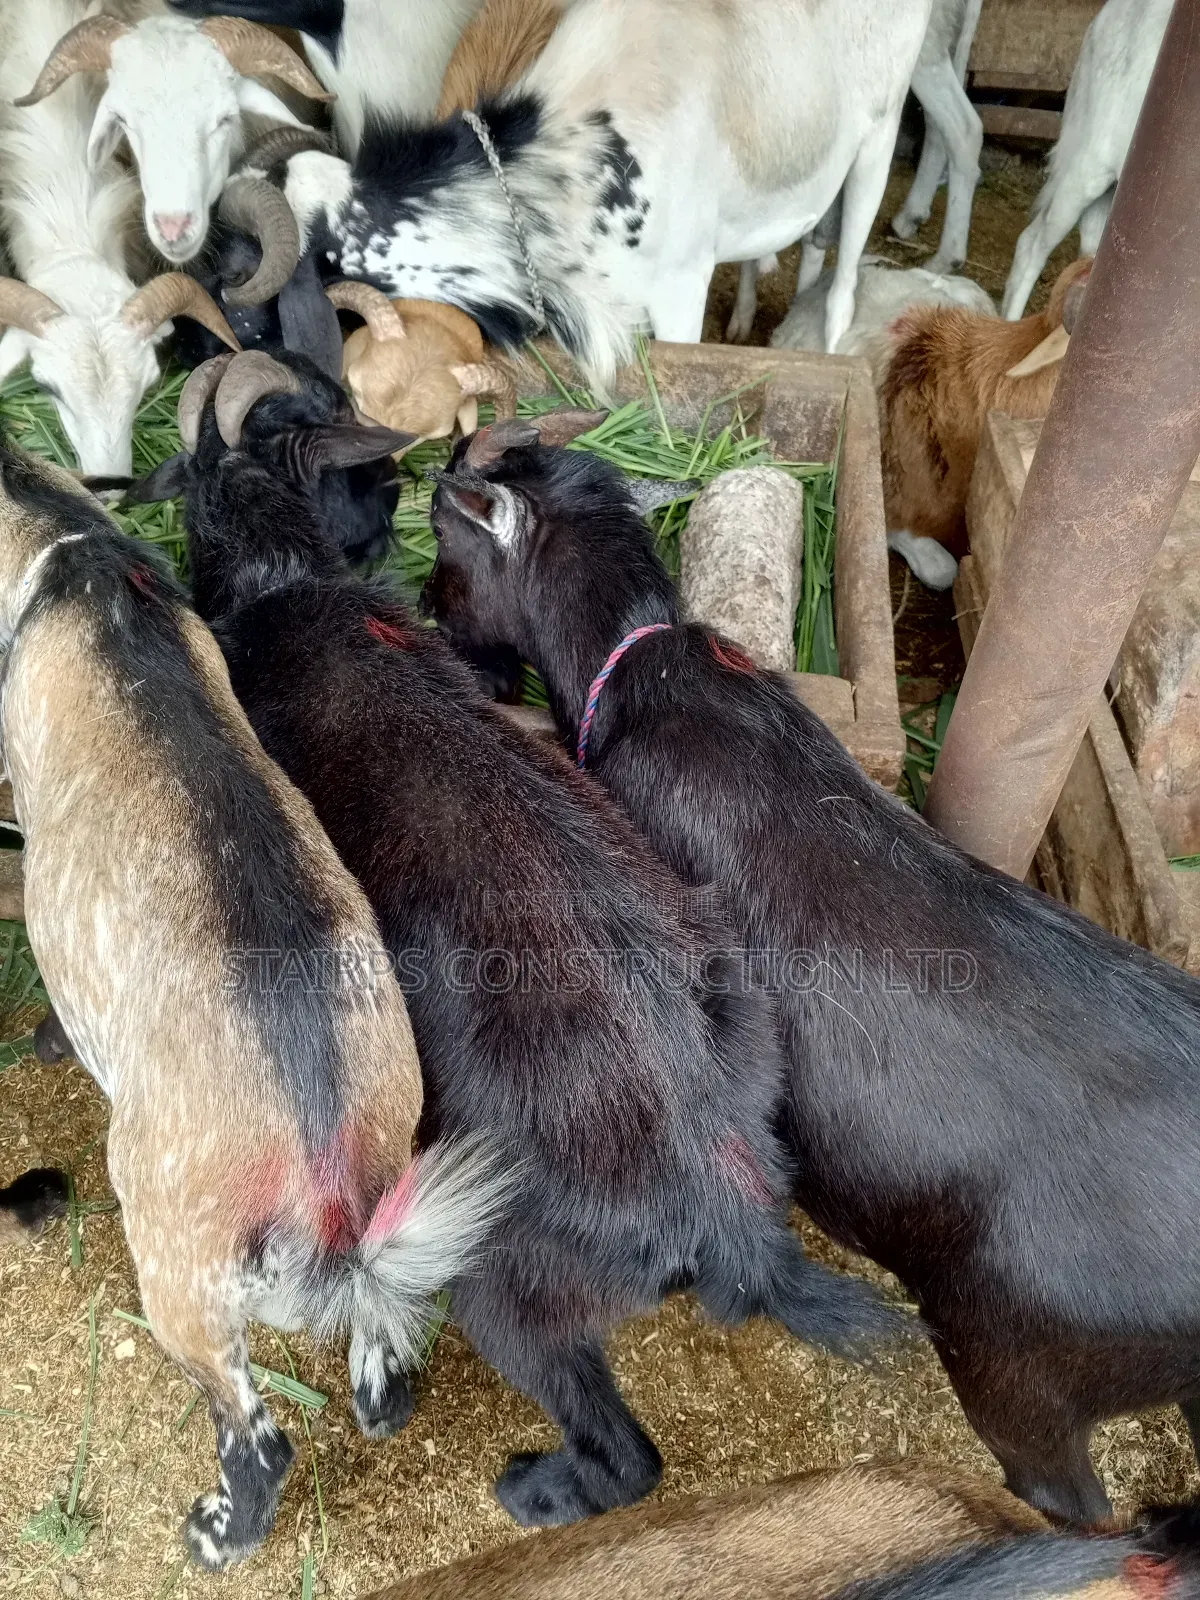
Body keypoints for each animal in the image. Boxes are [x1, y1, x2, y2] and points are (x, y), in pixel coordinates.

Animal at [0, 440, 502, 1569]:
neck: (62, 542)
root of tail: (325, 1164)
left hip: (179, 1263)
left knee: (256, 1437)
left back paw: (216, 1535)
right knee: (383, 1359)